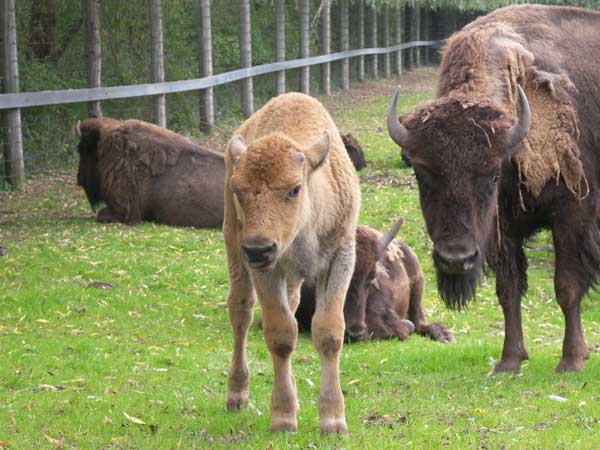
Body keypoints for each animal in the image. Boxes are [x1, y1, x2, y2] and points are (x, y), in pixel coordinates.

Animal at [223, 91, 358, 432]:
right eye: (238, 190)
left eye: (295, 189)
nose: (258, 249)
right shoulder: (267, 270)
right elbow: (281, 335)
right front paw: (283, 417)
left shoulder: (340, 258)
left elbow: (328, 332)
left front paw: (333, 420)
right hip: (234, 247)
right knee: (241, 312)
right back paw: (236, 396)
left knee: (292, 305)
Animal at [386, 5, 600, 374]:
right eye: (421, 174)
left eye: (491, 174)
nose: (455, 259)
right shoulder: (504, 229)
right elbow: (508, 290)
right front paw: (509, 361)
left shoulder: (571, 214)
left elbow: (567, 286)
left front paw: (571, 360)